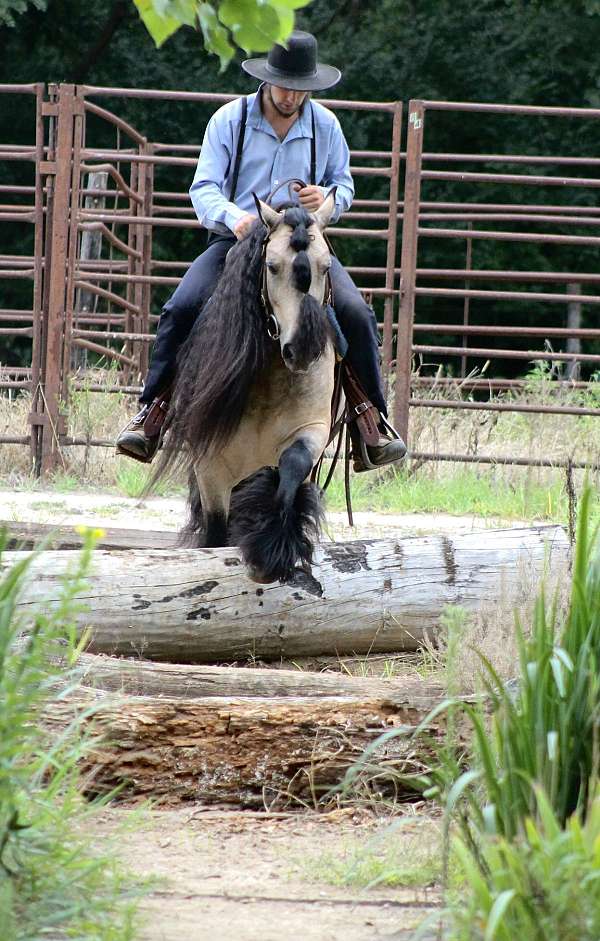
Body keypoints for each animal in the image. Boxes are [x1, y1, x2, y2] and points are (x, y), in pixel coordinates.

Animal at [152, 195, 340, 584]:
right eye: (271, 266)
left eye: (326, 266)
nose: (303, 349)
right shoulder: (209, 466)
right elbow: (215, 533)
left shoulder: (312, 431)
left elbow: (292, 467)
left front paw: (274, 547)